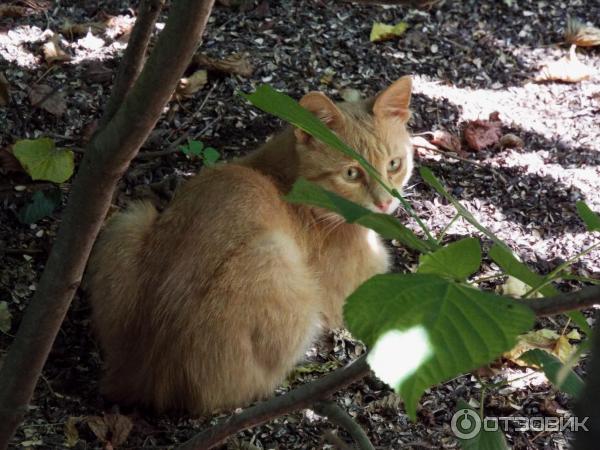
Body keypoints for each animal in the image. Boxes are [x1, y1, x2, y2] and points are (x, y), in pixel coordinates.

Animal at [86, 76, 414, 414]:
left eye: (394, 164)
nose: (386, 202)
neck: (281, 177)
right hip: (276, 260)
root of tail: (139, 374)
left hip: (129, 219)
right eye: (351, 173)